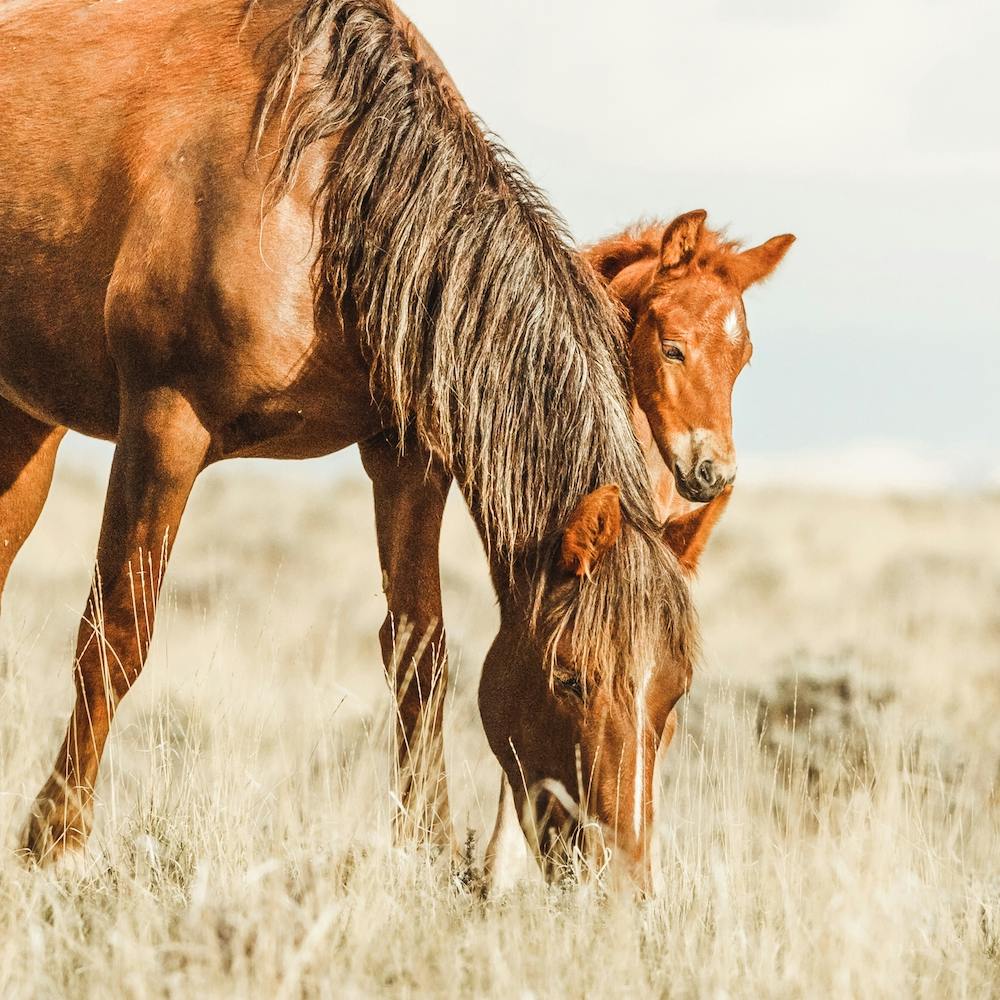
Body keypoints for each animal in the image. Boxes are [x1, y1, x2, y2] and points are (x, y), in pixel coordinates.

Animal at [1, 0, 703, 887]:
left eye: (672, 695)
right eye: (570, 678)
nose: (620, 884)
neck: (323, 193)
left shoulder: (408, 456)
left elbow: (419, 652)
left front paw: (425, 844)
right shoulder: (163, 424)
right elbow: (116, 636)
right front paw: (56, 842)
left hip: (25, 426)